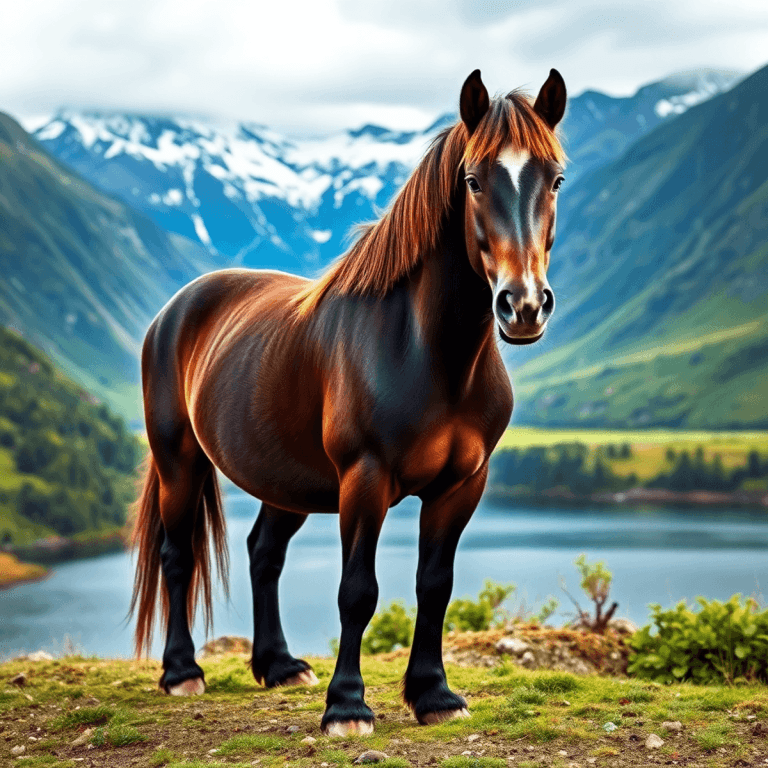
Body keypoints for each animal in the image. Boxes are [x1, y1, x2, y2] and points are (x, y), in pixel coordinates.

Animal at [130, 68, 567, 736]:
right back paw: (182, 672)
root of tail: (175, 310)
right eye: (473, 179)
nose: (522, 306)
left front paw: (434, 695)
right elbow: (357, 591)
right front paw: (347, 706)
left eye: (556, 179)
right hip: (181, 461)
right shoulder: (364, 480)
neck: (428, 354)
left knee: (264, 554)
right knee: (177, 556)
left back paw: (279, 665)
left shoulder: (461, 486)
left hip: (285, 478)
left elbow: (434, 585)